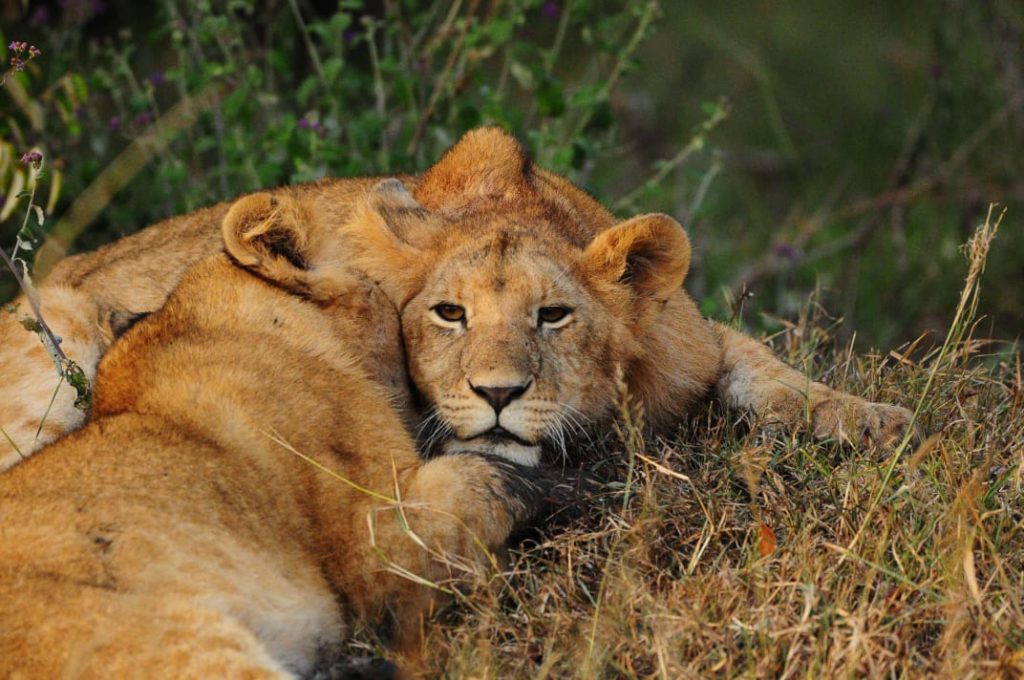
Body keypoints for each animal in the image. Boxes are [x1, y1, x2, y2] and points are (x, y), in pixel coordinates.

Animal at [0, 127, 913, 466]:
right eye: (450, 314)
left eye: (554, 316)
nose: (499, 395)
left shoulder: (694, 341)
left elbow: (763, 364)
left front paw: (866, 417)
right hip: (61, 326)